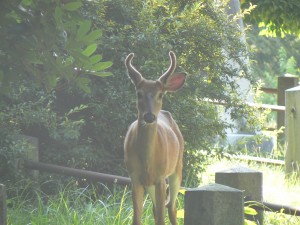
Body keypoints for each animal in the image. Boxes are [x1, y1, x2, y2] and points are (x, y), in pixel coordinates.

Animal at [123, 51, 185, 225]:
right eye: (139, 93)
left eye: (160, 94)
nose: (149, 116)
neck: (147, 160)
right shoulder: (134, 177)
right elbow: (137, 218)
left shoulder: (160, 177)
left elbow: (161, 218)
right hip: (150, 183)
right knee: (157, 209)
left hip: (177, 167)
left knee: (171, 207)